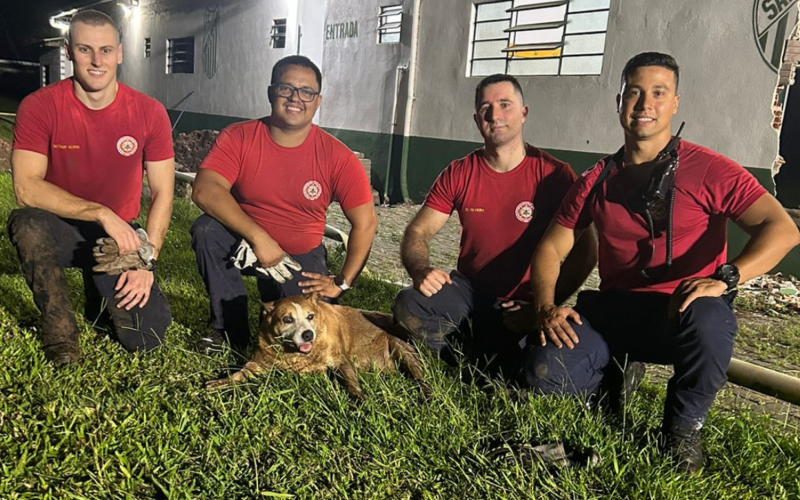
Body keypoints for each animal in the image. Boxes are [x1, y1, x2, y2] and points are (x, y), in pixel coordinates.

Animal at [206, 292, 428, 398]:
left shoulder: (340, 359)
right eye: (287, 319)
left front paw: (360, 399)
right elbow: (238, 375)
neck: (294, 354)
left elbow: (351, 383)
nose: (307, 334)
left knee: (419, 377)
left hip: (400, 348)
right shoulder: (259, 363)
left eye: (310, 316)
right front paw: (218, 382)